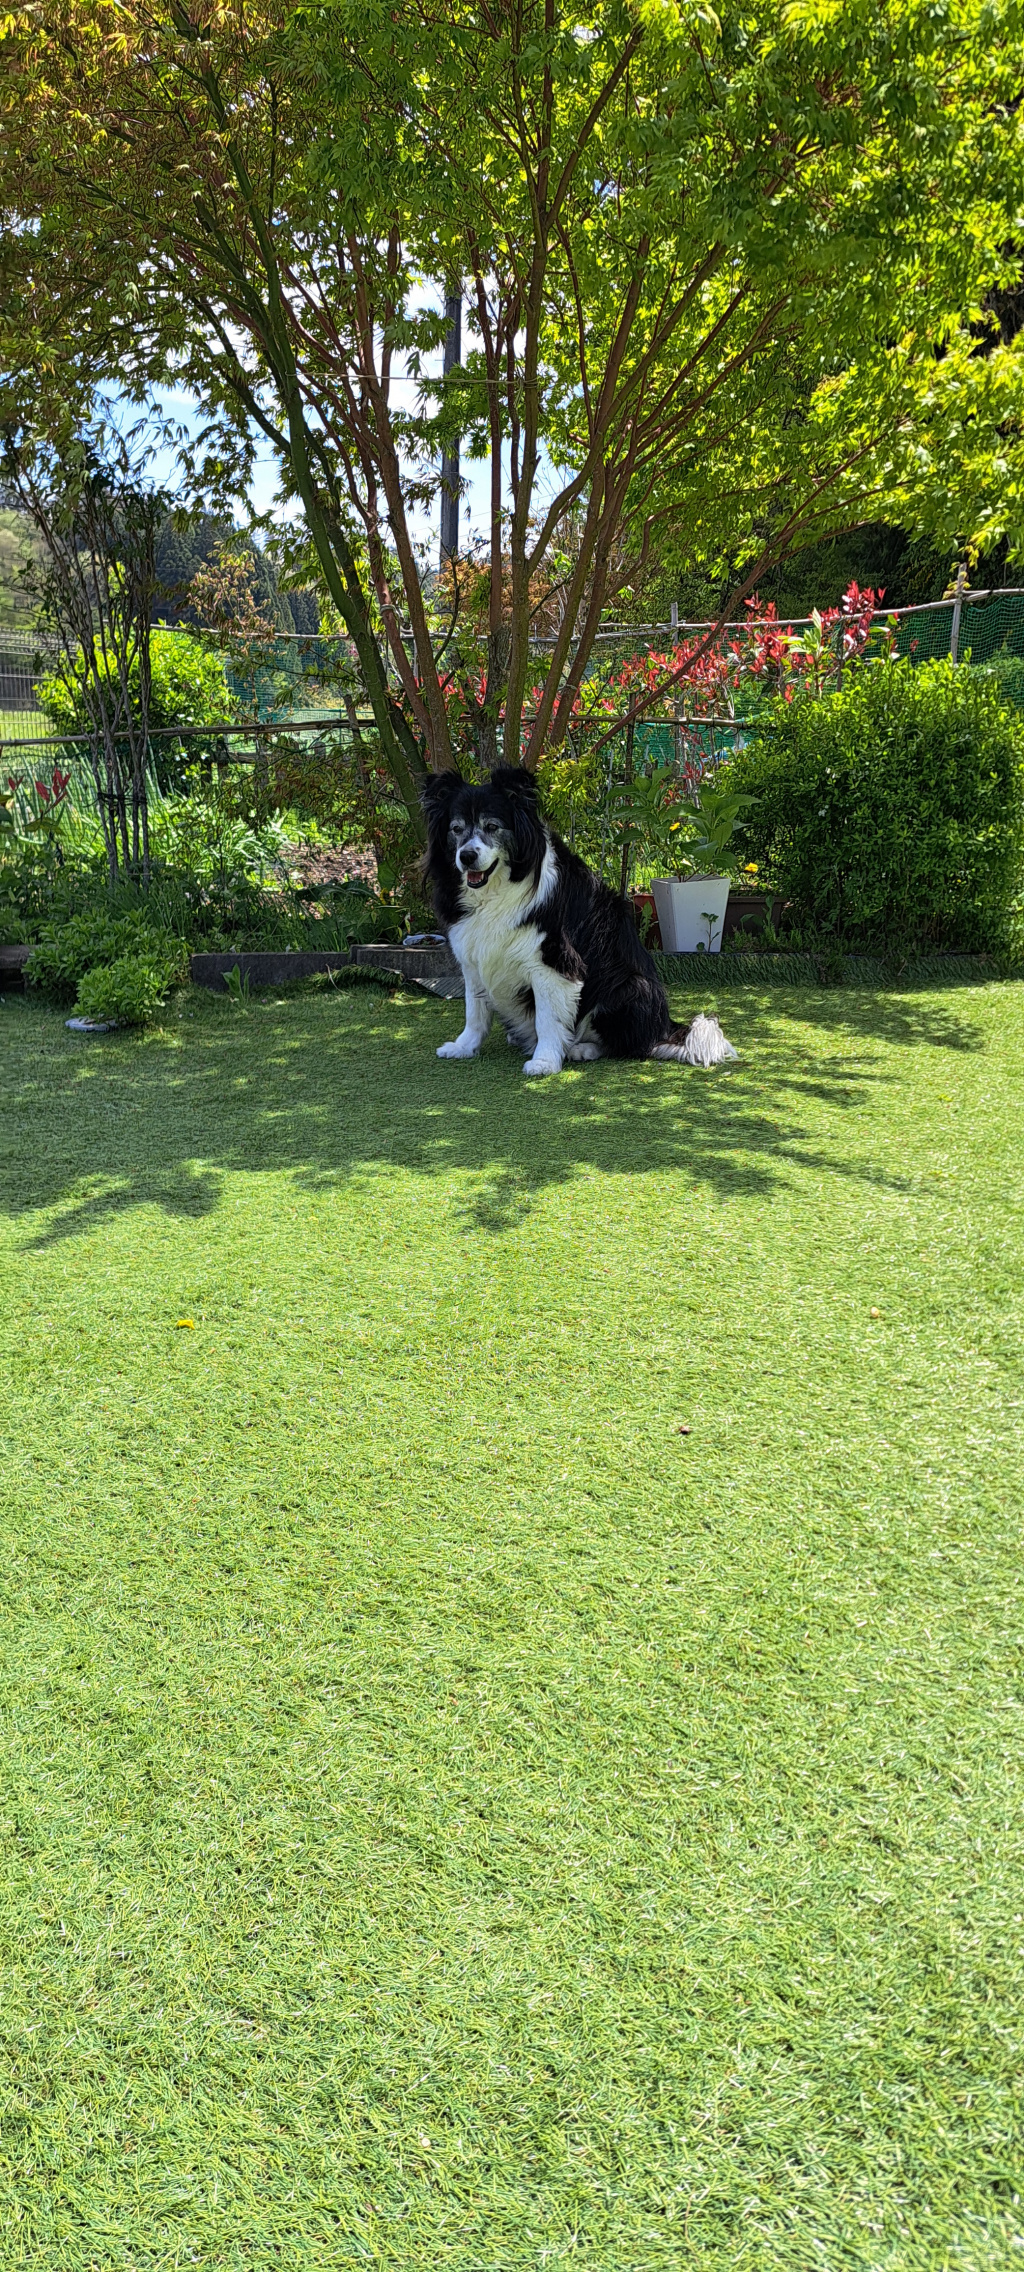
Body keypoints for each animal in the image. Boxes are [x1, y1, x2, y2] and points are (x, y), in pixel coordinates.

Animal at [423, 766, 736, 1075]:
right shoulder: (474, 956)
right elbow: (474, 1011)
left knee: (626, 1045)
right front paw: (463, 1047)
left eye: (491, 827)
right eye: (456, 829)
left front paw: (544, 1062)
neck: (499, 887)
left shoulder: (553, 960)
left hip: (631, 986)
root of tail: (663, 1027)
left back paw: (581, 1049)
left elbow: (547, 1020)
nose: (467, 856)